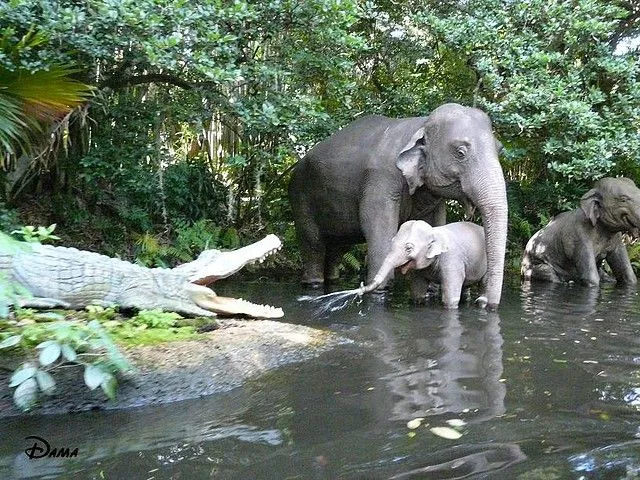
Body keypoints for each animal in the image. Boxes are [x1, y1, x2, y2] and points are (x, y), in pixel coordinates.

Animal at [288, 103, 508, 310]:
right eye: (460, 152)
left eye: (500, 149)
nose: (483, 302)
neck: (421, 124)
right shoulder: (381, 179)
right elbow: (375, 223)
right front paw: (381, 291)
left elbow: (435, 221)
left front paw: (431, 290)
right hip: (300, 196)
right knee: (313, 243)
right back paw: (313, 284)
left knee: (338, 248)